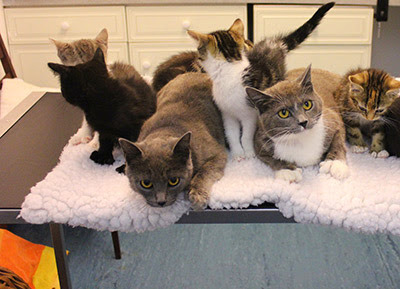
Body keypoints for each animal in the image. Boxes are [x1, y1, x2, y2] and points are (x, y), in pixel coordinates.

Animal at [118, 71, 228, 208]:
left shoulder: (218, 153)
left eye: (173, 181)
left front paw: (197, 196)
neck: (165, 129)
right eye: (146, 183)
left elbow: (205, 171)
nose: (161, 202)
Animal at [188, 2, 334, 160]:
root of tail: (276, 43)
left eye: (199, 52)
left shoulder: (250, 114)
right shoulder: (227, 113)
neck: (230, 71)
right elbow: (232, 134)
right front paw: (237, 153)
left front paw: (249, 151)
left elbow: (246, 134)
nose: (195, 59)